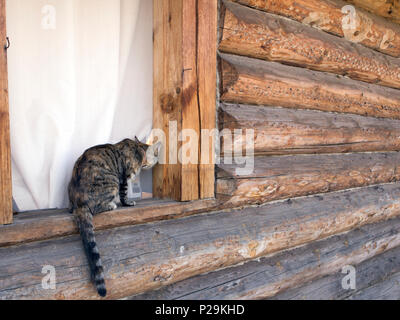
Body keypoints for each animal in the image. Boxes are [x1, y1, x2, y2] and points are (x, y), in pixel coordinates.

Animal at [68, 138, 161, 298]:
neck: (138, 150)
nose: (147, 164)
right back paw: (111, 205)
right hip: (112, 181)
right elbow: (124, 194)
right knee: (97, 207)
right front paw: (127, 203)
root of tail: (79, 202)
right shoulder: (124, 176)